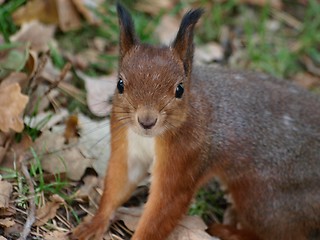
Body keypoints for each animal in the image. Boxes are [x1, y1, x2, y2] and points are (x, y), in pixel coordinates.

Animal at [72, 2, 320, 240]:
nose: (146, 121)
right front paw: (93, 223)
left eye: (180, 89)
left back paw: (228, 232)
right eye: (120, 84)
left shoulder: (188, 157)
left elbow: (165, 206)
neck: (151, 138)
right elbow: (119, 183)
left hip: (266, 200)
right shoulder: (128, 143)